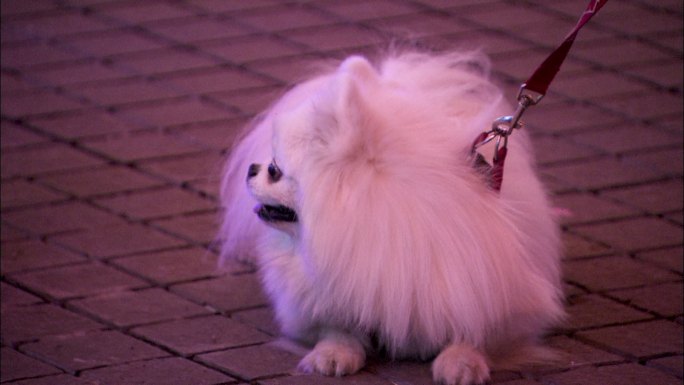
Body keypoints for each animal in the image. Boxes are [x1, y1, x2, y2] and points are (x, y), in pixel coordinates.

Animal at [219, 51, 568, 384]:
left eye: (274, 170)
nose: (252, 168)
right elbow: (336, 324)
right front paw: (333, 353)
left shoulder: (493, 292)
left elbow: (475, 328)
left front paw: (462, 363)